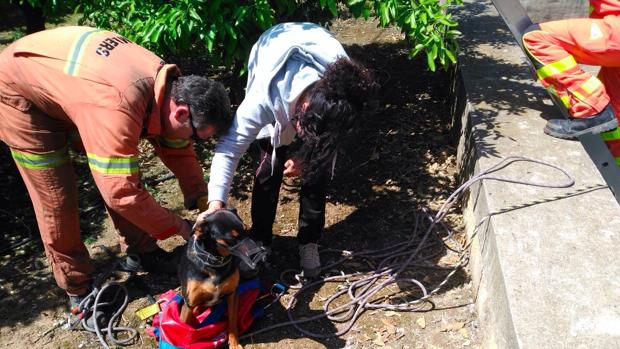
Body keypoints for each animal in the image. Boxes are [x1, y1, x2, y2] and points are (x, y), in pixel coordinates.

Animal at [177, 208, 247, 346]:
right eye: (231, 239)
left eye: (245, 229)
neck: (215, 262)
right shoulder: (189, 302)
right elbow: (183, 327)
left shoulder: (232, 294)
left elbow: (232, 321)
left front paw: (234, 344)